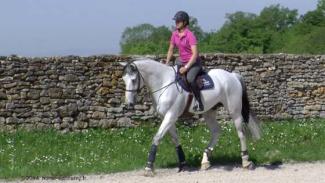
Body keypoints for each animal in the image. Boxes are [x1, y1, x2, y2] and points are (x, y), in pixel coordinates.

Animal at [119, 58, 260, 176]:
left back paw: (246, 161)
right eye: (123, 79)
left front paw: (148, 167)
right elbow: (175, 140)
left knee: (241, 133)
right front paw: (183, 165)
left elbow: (157, 137)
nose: (129, 104)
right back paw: (205, 161)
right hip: (209, 112)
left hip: (234, 111)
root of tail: (232, 76)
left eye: (133, 80)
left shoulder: (170, 116)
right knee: (216, 131)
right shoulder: (167, 117)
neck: (164, 83)